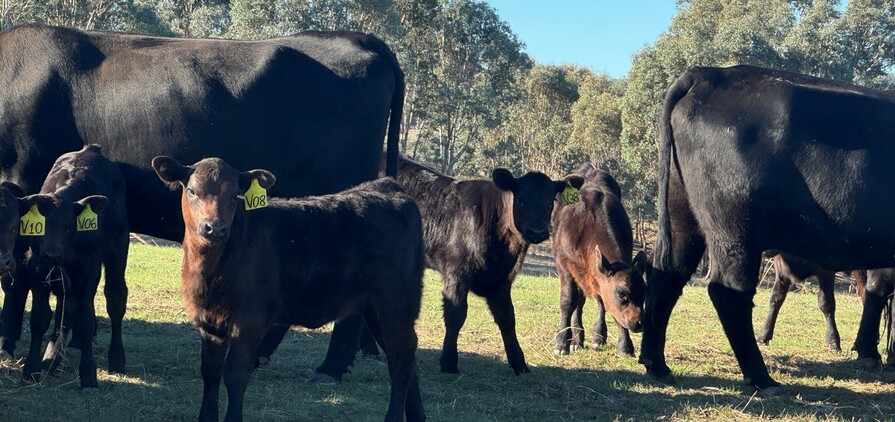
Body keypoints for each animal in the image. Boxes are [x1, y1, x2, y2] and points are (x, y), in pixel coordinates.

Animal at [548, 163, 648, 358]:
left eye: (644, 292)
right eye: (621, 293)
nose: (639, 322)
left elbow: (608, 305)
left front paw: (625, 346)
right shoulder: (564, 266)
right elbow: (568, 301)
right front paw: (562, 342)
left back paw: (595, 336)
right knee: (578, 301)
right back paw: (576, 339)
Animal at [648, 65, 895, 392]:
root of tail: (710, 74)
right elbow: (881, 292)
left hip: (682, 217)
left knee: (668, 274)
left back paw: (656, 364)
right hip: (736, 230)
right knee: (729, 291)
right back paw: (760, 376)